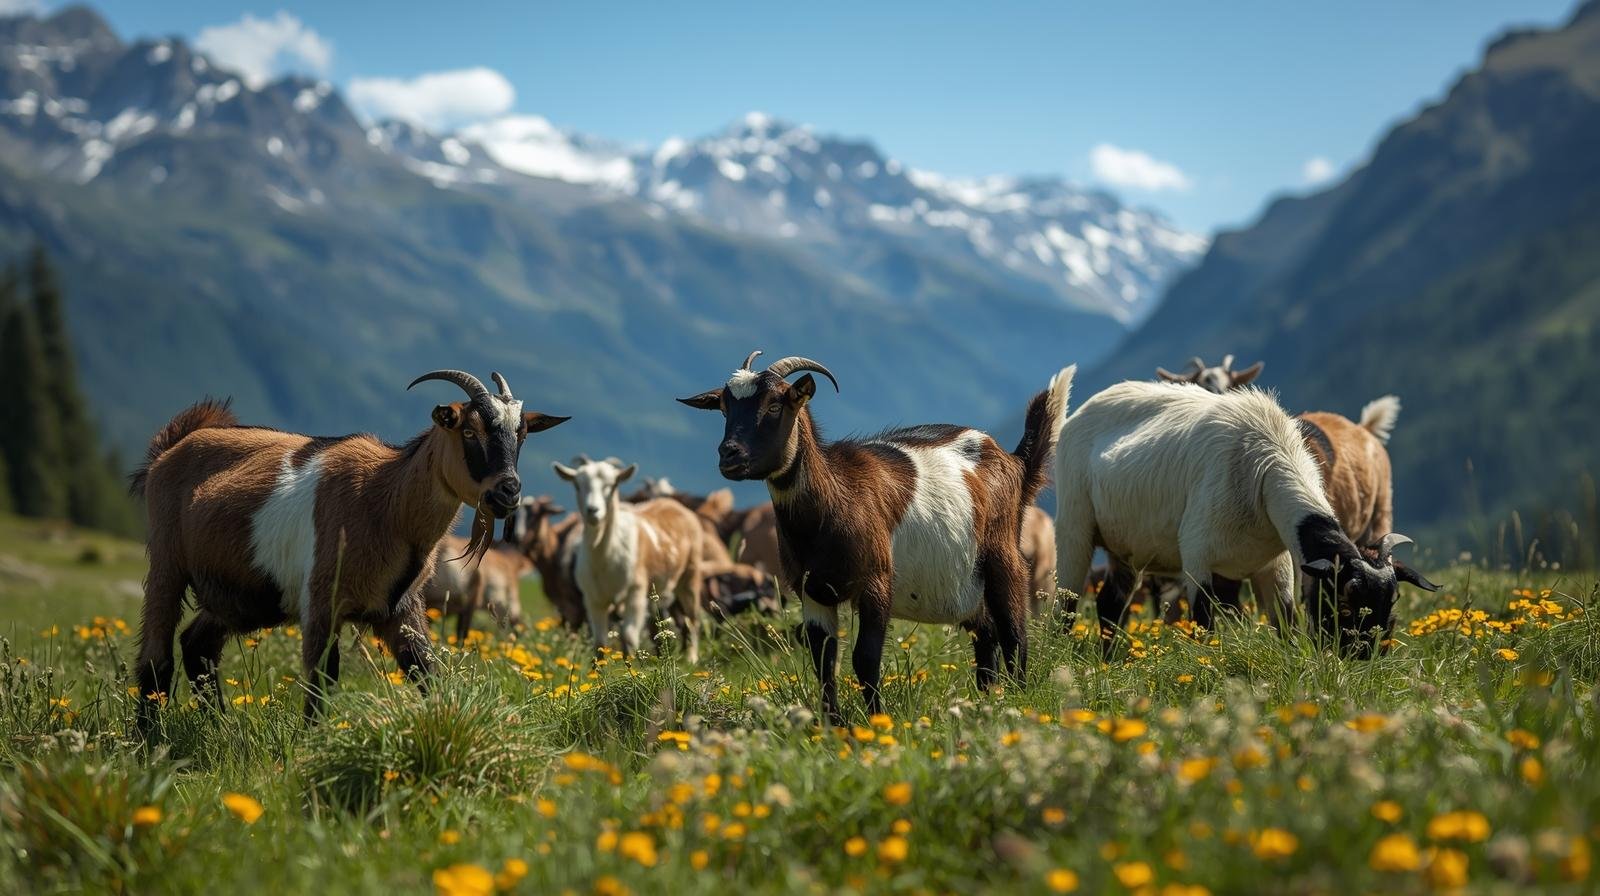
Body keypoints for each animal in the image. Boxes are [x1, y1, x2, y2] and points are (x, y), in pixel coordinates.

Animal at [129, 371, 567, 726]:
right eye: (470, 432)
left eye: (521, 436)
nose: (508, 492)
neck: (387, 500)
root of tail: (168, 449)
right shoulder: (323, 600)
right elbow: (323, 678)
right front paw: (309, 748)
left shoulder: (401, 607)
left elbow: (428, 673)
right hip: (167, 562)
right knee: (156, 657)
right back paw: (149, 745)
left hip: (236, 595)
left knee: (198, 645)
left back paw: (222, 728)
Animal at [552, 458, 704, 661]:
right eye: (577, 485)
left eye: (612, 485)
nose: (593, 510)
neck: (604, 559)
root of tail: (674, 504)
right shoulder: (592, 597)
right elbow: (599, 641)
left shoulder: (635, 591)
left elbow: (629, 636)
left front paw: (632, 667)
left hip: (690, 576)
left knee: (692, 619)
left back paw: (691, 658)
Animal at [680, 350, 1073, 722]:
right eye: (724, 408)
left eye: (775, 405)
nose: (729, 456)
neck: (837, 498)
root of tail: (1014, 461)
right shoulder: (813, 591)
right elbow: (824, 660)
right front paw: (833, 725)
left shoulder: (876, 582)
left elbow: (865, 657)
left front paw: (875, 721)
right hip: (964, 584)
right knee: (986, 633)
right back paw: (986, 699)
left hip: (1003, 555)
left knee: (1013, 630)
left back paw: (1018, 698)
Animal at [1053, 380, 1429, 658]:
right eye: (1345, 602)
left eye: (1392, 600)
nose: (1364, 658)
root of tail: (1087, 406)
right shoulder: (1197, 557)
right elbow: (1204, 626)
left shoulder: (1275, 567)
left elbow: (1286, 626)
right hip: (1074, 527)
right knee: (1066, 604)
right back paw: (1058, 655)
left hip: (1127, 550)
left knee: (1109, 603)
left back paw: (1107, 659)